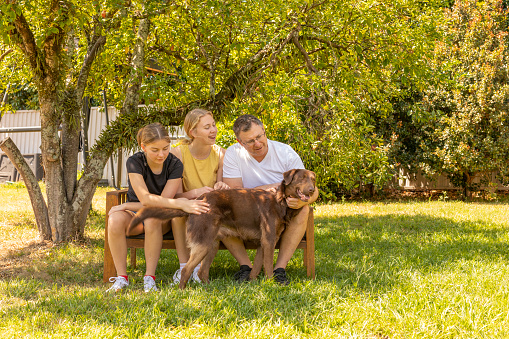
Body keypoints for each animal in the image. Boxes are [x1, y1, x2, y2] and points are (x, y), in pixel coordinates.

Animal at [128, 169, 314, 288]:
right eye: (301, 179)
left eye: (313, 179)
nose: (313, 190)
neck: (280, 200)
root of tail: (196, 202)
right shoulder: (269, 241)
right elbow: (268, 267)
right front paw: (271, 286)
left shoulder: (263, 243)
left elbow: (256, 267)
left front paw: (254, 284)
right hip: (203, 243)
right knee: (187, 269)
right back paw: (182, 292)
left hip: (212, 244)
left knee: (202, 271)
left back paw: (209, 289)